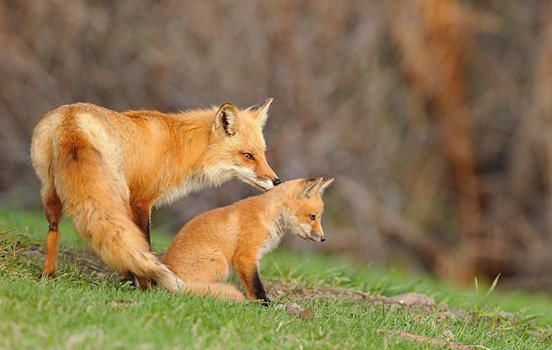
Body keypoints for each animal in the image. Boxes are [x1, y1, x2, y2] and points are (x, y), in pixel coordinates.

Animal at [30, 99, 280, 292]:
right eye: (247, 155)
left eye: (263, 154)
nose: (276, 181)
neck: (178, 146)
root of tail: (73, 120)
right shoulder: (141, 200)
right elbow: (145, 242)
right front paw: (145, 285)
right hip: (116, 192)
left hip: (50, 189)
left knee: (54, 229)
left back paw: (48, 275)